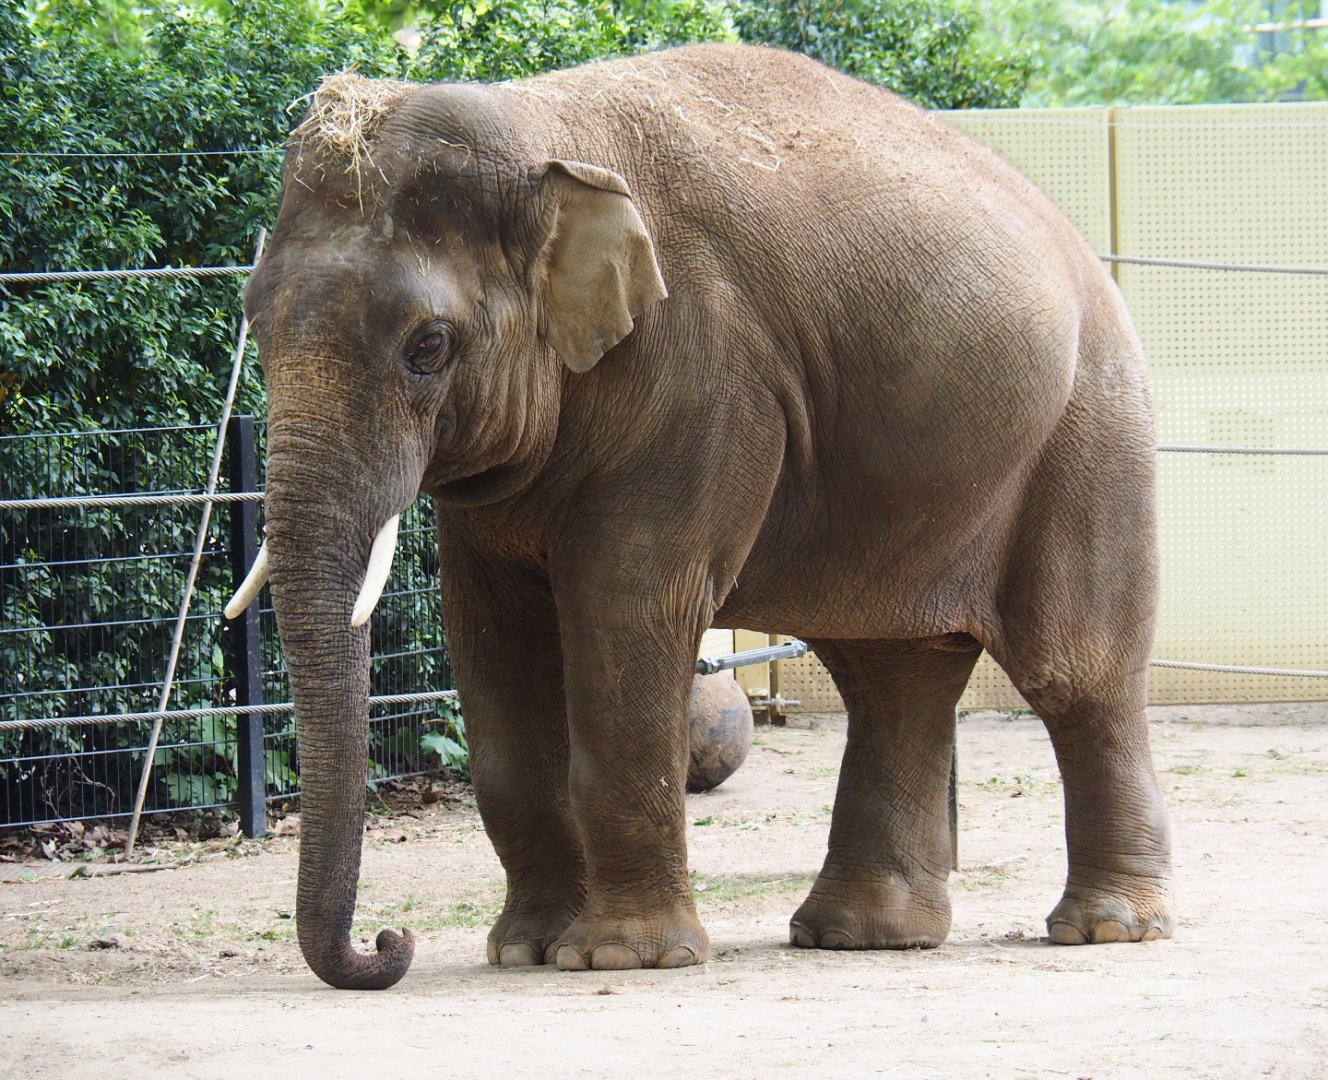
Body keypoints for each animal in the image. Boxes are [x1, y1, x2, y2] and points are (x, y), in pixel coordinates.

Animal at [227, 43, 1175, 990]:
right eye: (254, 326)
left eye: (428, 346)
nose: (390, 943)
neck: (544, 136)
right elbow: (491, 640)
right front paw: (524, 950)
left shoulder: (704, 376)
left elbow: (629, 609)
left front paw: (619, 956)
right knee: (891, 675)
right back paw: (862, 935)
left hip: (1089, 433)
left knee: (1074, 672)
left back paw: (1106, 928)